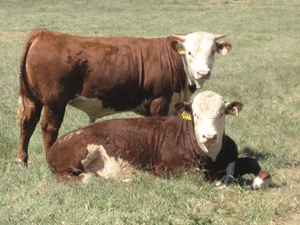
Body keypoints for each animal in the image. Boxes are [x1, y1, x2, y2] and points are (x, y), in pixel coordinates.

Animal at [15, 28, 232, 165]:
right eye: (189, 52)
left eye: (212, 51)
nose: (203, 73)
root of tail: (44, 33)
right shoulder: (159, 100)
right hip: (55, 102)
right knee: (49, 128)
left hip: (31, 98)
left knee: (27, 123)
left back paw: (21, 160)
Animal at [47, 90, 272, 189]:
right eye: (195, 114)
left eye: (222, 113)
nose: (209, 136)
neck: (211, 157)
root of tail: (57, 143)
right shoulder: (168, 168)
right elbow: (201, 177)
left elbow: (252, 162)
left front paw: (260, 180)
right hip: (78, 155)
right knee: (69, 176)